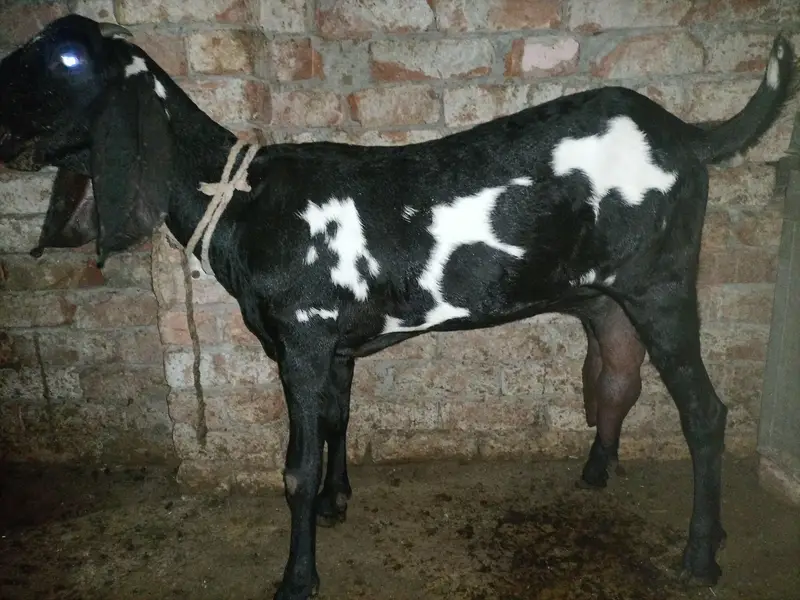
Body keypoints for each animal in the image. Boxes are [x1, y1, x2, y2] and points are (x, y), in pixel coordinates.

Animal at [0, 15, 795, 600]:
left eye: (67, 58)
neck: (245, 199)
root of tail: (689, 134)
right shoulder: (334, 344)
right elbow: (337, 422)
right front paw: (337, 505)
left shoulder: (303, 339)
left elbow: (296, 465)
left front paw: (297, 578)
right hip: (605, 296)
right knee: (614, 375)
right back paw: (602, 473)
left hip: (663, 283)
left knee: (704, 412)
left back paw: (701, 555)